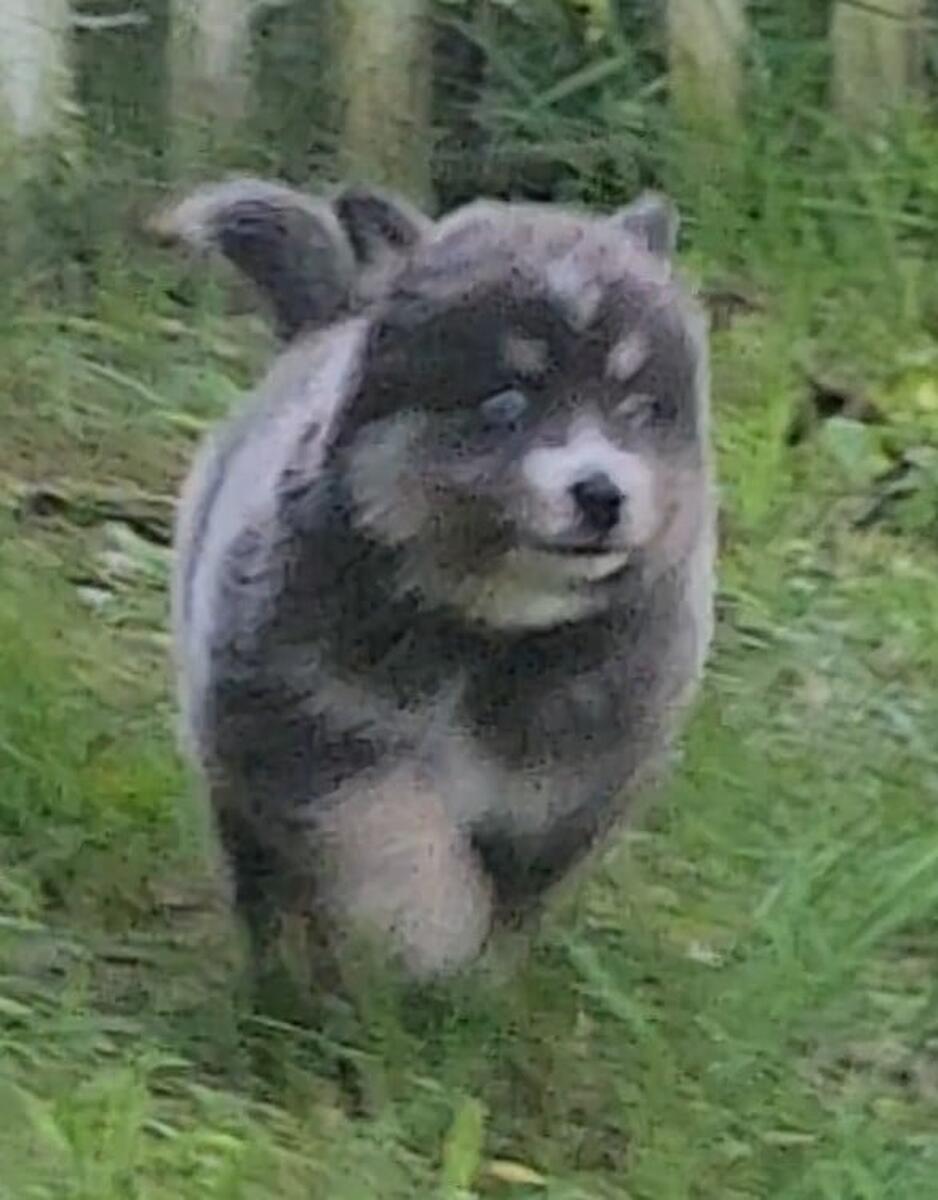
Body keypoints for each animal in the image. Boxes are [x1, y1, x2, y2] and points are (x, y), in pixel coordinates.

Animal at [153, 175, 716, 987]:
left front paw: (476, 975)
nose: (602, 494)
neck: (486, 628)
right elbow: (391, 836)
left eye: (638, 410)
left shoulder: (571, 781)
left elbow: (515, 889)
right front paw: (425, 936)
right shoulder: (303, 726)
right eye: (506, 404)